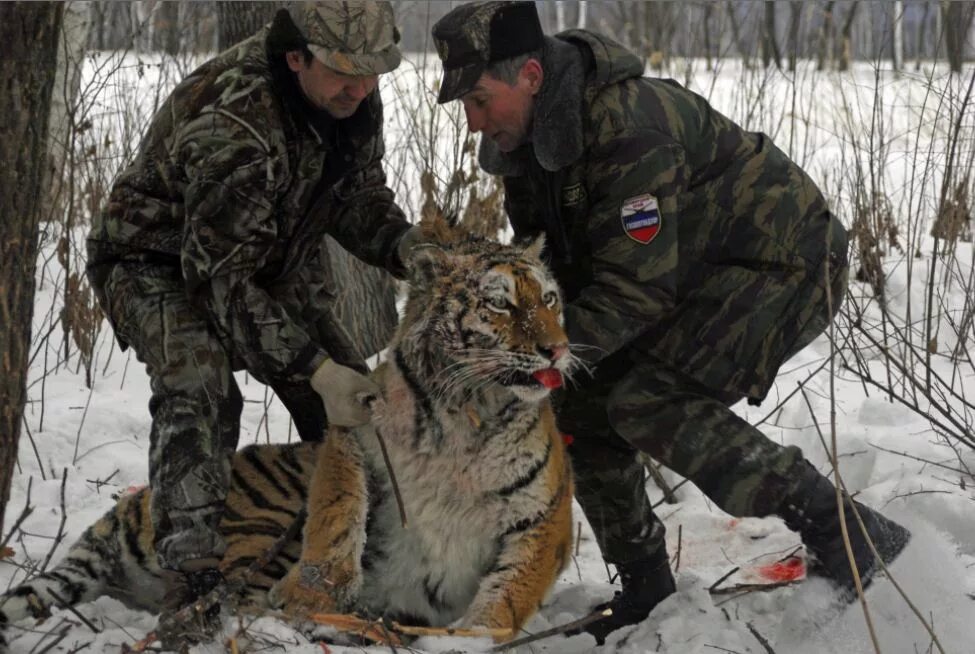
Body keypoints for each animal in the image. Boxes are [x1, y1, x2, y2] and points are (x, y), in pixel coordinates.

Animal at [0, 218, 576, 648]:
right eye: (500, 303)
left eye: (549, 299)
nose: (557, 350)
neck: (465, 412)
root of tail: (131, 505)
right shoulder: (351, 432)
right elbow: (338, 517)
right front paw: (312, 596)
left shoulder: (545, 515)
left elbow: (509, 595)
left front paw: (466, 637)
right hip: (262, 517)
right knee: (228, 599)